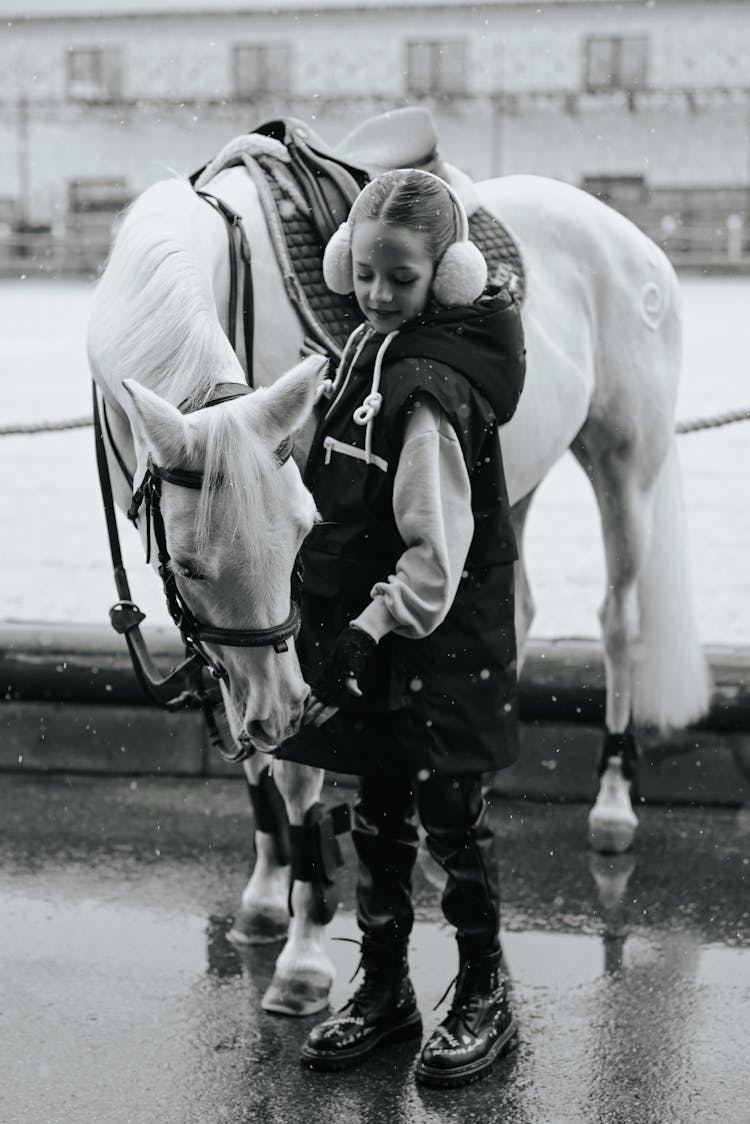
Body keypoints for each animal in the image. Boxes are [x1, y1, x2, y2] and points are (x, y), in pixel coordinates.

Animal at [86, 120, 710, 1020]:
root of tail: (634, 235)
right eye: (195, 567)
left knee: (619, 622)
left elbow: (301, 771)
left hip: (627, 461)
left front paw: (306, 950)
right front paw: (266, 890)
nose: (279, 707)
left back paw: (615, 803)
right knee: (508, 611)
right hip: (503, 478)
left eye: (304, 536)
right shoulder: (221, 629)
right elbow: (254, 746)